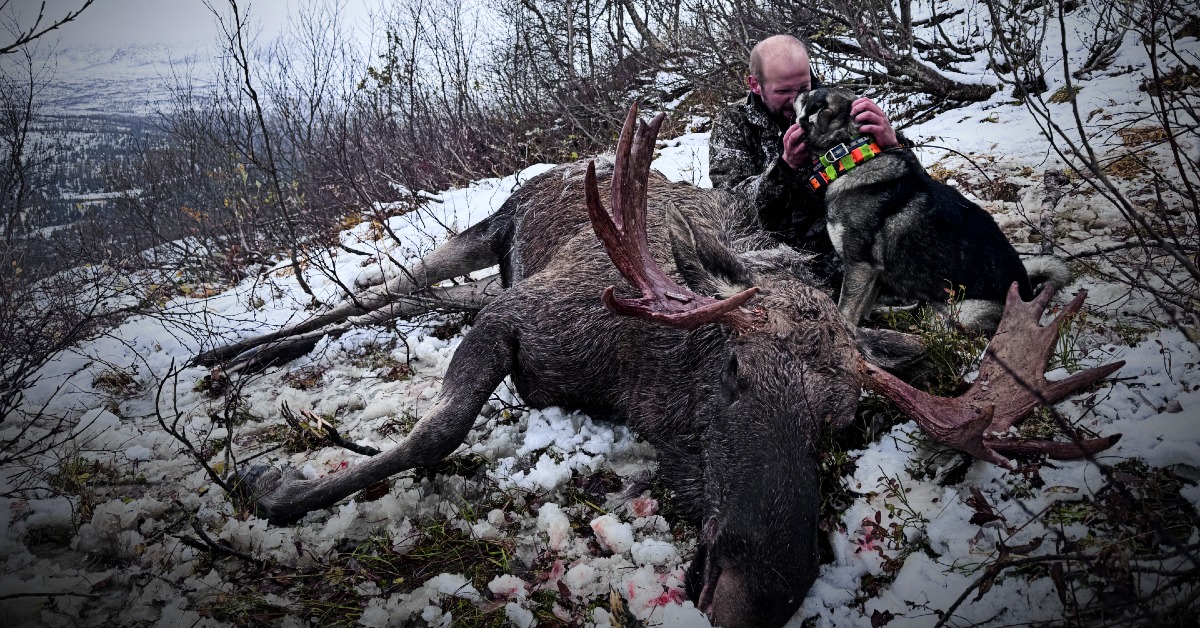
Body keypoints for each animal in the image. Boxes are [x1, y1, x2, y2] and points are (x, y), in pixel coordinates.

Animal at [796, 89, 1070, 333]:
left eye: (809, 96)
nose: (798, 90)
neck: (850, 158)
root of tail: (1026, 292)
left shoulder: (859, 266)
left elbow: (845, 312)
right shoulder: (871, 273)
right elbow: (862, 310)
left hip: (955, 313)